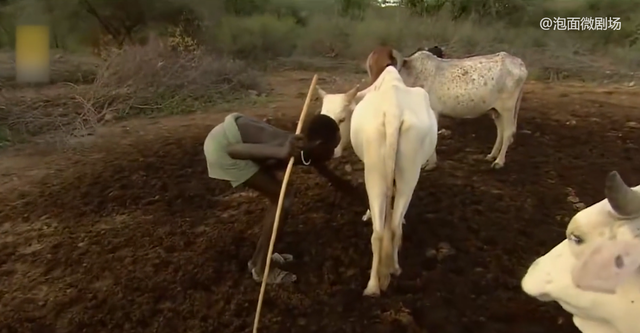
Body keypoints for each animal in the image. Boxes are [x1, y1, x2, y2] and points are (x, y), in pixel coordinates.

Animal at [316, 65, 440, 296]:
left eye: (342, 119)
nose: (330, 151)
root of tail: (393, 113)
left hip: (374, 173)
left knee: (379, 232)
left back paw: (373, 285)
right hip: (409, 174)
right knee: (393, 227)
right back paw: (392, 270)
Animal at [358, 48, 528, 170]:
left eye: (387, 65)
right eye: (370, 67)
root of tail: (518, 62)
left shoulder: (432, 112)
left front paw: (430, 163)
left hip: (507, 108)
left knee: (508, 132)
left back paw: (499, 161)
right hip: (495, 110)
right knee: (500, 131)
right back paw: (492, 155)